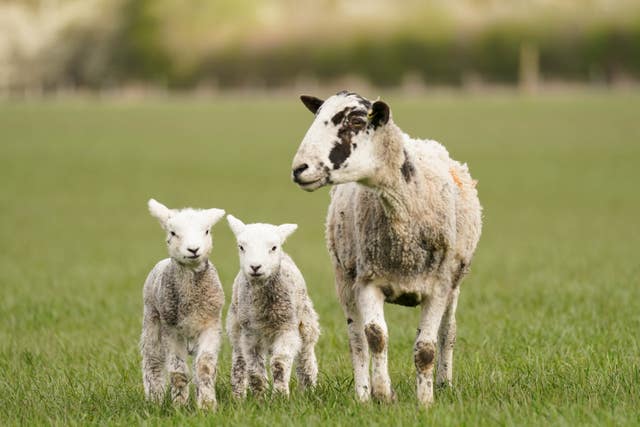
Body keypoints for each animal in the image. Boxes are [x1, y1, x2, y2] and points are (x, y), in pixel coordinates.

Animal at [140, 199, 226, 410]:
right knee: (152, 359)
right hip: (151, 318)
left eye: (207, 231)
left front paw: (207, 405)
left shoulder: (211, 326)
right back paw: (155, 398)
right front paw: (179, 405)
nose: (193, 249)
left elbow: (204, 367)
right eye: (173, 233)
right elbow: (177, 371)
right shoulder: (171, 331)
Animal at [225, 215, 320, 398]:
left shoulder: (287, 328)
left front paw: (280, 396)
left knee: (306, 358)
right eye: (241, 247)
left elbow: (279, 363)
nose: (255, 267)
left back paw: (309, 390)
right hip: (235, 326)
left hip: (306, 323)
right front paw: (259, 397)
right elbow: (254, 369)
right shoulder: (250, 333)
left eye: (273, 247)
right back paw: (238, 396)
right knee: (239, 361)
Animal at [290, 91, 482, 406]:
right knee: (356, 340)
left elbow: (426, 348)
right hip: (344, 278)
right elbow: (375, 337)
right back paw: (362, 395)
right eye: (316, 118)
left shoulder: (439, 287)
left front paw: (425, 402)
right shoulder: (368, 281)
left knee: (448, 331)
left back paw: (444, 383)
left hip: (454, 284)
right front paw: (382, 393)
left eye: (356, 122)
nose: (299, 169)